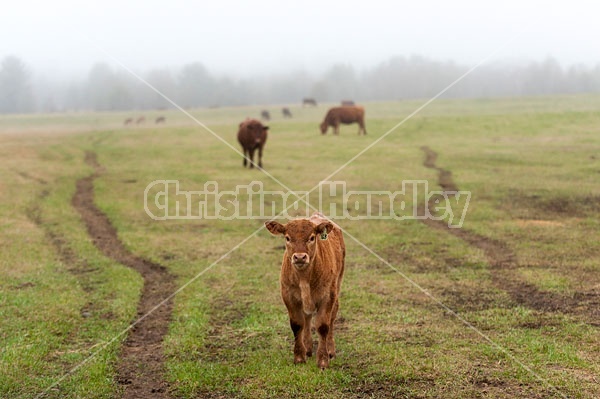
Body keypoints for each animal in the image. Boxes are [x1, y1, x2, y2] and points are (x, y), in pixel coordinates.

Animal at [264, 212, 344, 372]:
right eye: (287, 238)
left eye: (312, 237)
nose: (300, 257)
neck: (304, 278)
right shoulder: (288, 296)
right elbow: (297, 325)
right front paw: (299, 357)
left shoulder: (328, 296)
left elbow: (323, 326)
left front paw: (323, 360)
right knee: (307, 318)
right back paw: (307, 347)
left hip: (337, 284)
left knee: (332, 317)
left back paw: (331, 350)